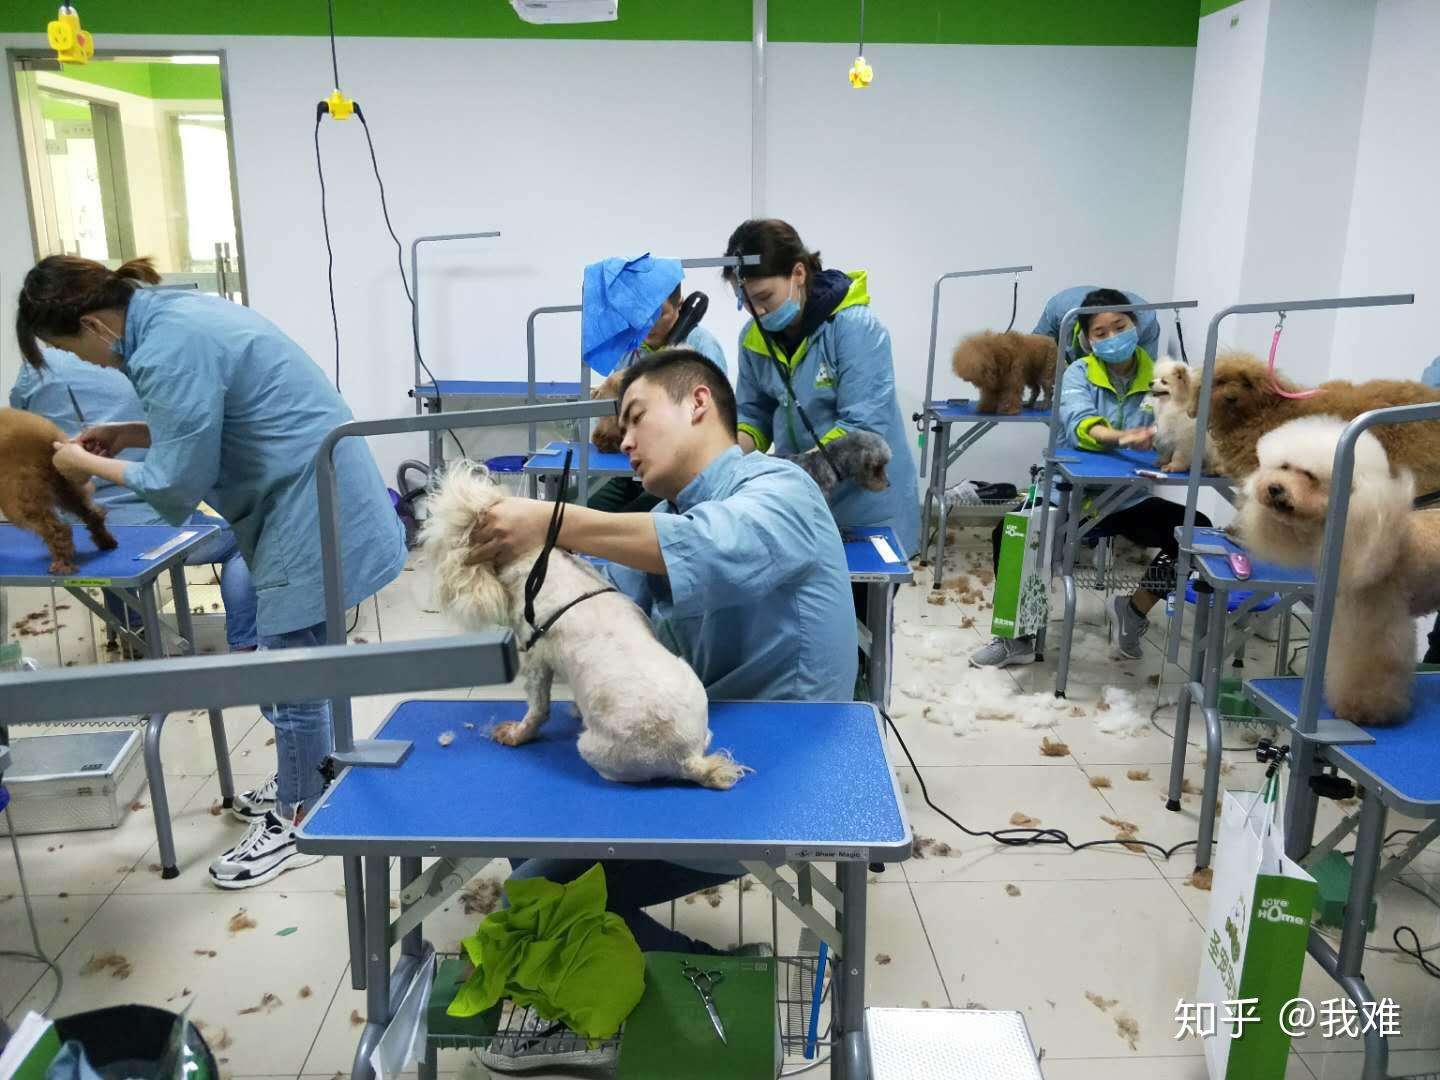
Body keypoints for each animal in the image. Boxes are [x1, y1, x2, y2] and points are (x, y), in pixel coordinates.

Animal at [0, 408, 117, 576]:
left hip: (20, 495)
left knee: (58, 530)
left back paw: (62, 563)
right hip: (64, 486)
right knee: (92, 515)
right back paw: (106, 542)